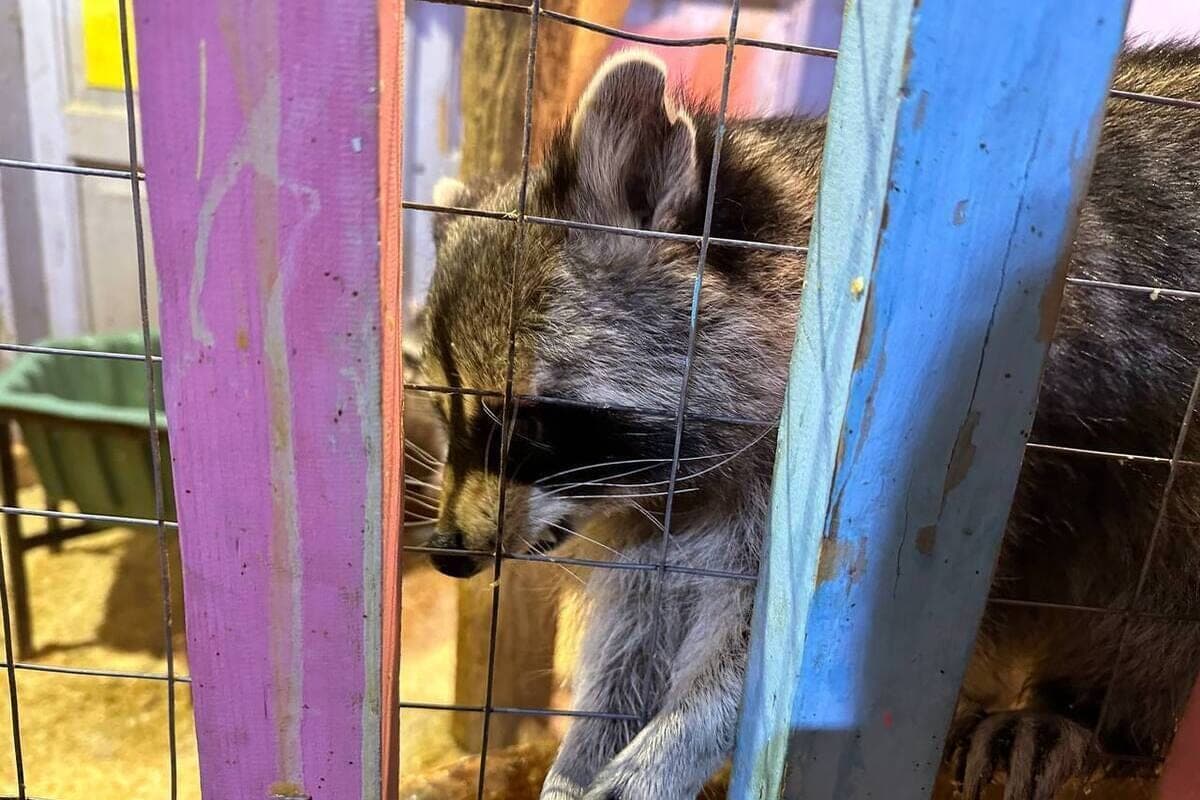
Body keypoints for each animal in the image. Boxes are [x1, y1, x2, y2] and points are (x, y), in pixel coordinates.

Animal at [415, 44, 1200, 800]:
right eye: (444, 409)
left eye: (520, 419)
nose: (446, 551)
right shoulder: (651, 520)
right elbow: (634, 636)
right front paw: (585, 754)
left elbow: (768, 658)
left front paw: (670, 748)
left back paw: (1076, 712)